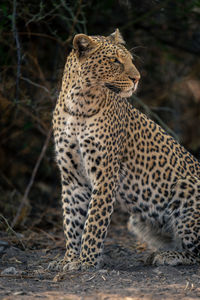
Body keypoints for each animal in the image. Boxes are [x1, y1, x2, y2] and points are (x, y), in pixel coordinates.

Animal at [49, 29, 200, 272]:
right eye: (114, 61)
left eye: (130, 59)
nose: (137, 79)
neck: (79, 104)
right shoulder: (72, 177)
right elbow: (72, 221)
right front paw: (69, 259)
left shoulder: (105, 175)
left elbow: (94, 223)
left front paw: (87, 261)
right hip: (137, 220)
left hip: (186, 188)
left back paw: (167, 256)